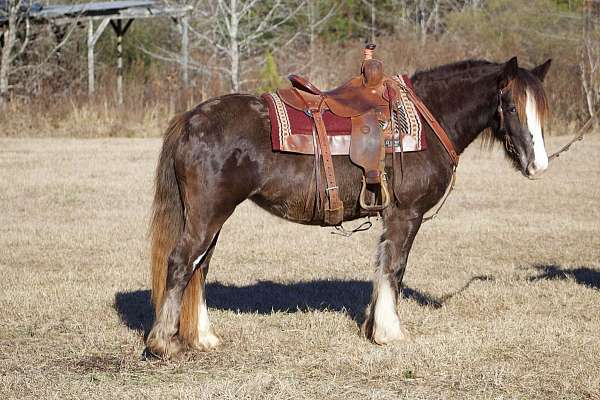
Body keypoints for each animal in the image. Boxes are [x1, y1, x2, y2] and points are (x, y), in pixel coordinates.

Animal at [143, 55, 552, 356]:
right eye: (511, 106)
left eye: (540, 111)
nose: (539, 165)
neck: (426, 119)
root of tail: (191, 118)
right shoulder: (406, 214)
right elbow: (394, 268)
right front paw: (389, 332)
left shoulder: (392, 216)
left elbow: (383, 266)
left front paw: (375, 325)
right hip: (207, 215)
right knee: (181, 264)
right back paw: (164, 344)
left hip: (212, 217)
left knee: (199, 268)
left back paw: (204, 338)